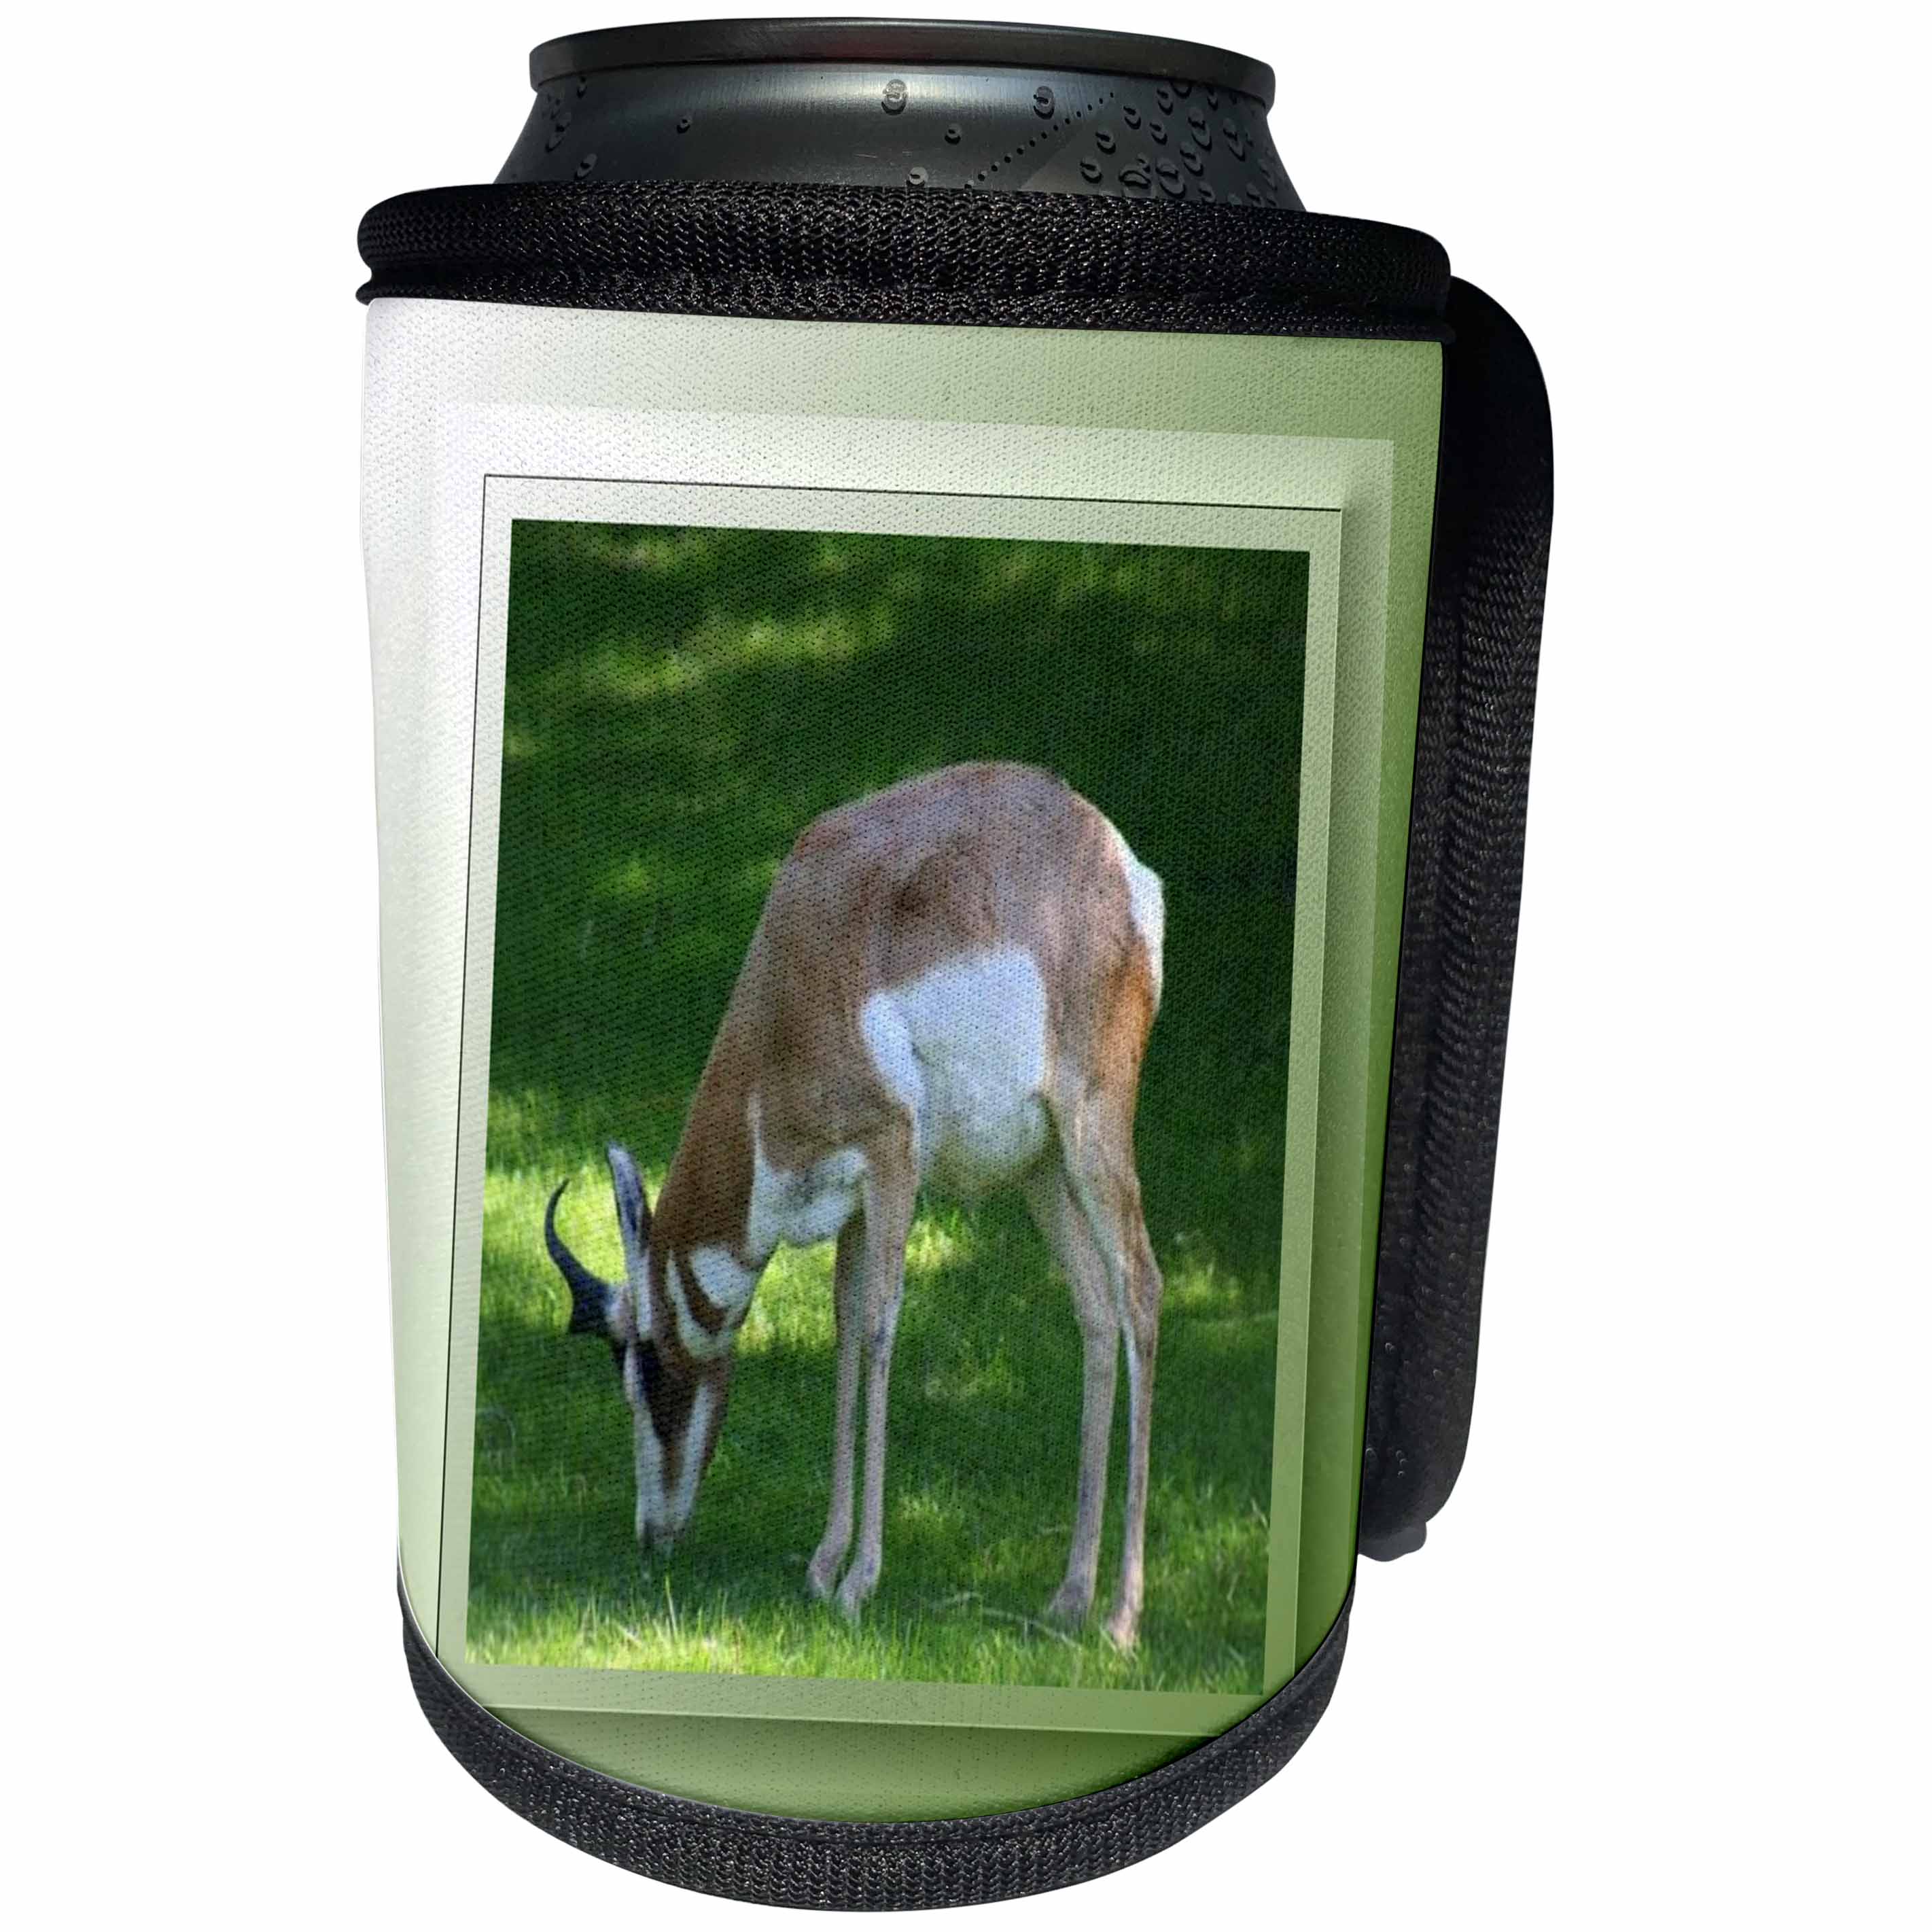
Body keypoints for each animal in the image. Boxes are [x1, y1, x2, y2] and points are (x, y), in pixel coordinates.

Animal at [544, 761, 1166, 1647]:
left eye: (652, 1371)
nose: (651, 1535)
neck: (793, 984)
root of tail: (1113, 857)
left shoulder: (892, 1159)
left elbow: (877, 1332)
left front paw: (858, 1580)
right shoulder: (851, 1205)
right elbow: (841, 1330)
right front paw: (821, 1563)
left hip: (1090, 1132)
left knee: (1140, 1289)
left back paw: (1120, 1618)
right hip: (1041, 1167)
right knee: (1094, 1307)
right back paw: (1068, 1597)